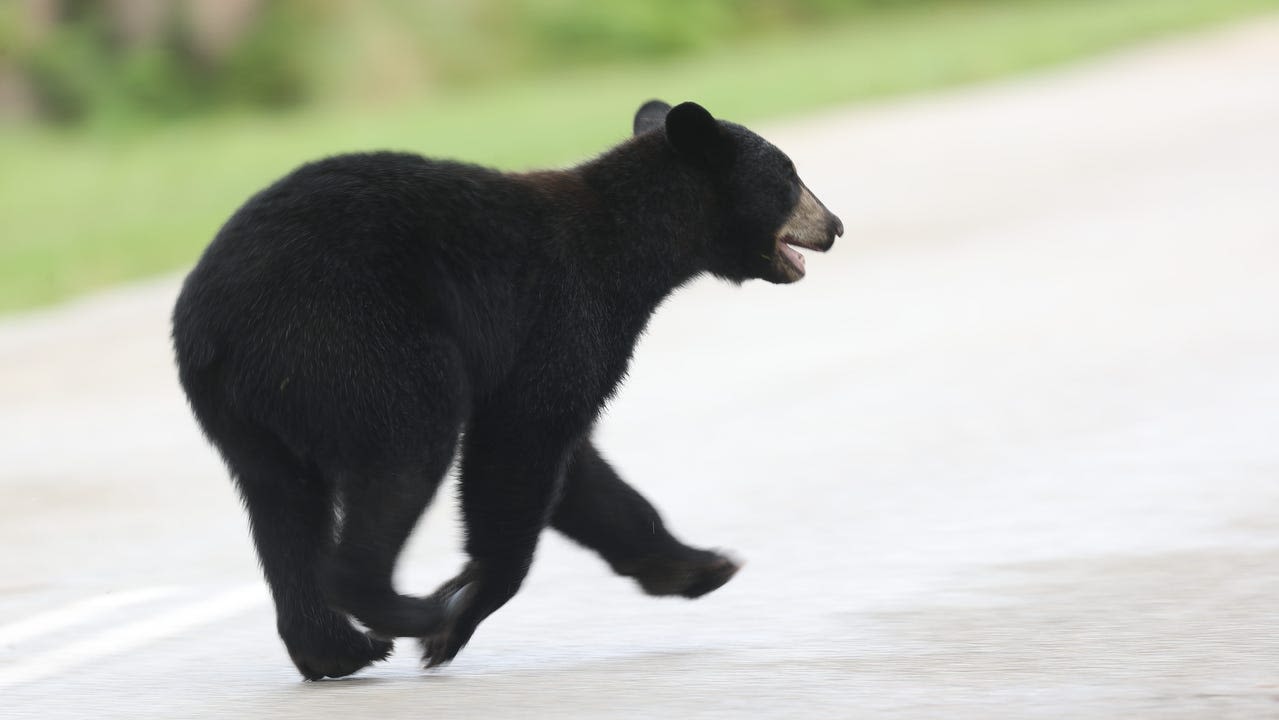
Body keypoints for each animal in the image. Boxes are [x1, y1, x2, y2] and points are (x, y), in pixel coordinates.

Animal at [175, 98, 844, 680]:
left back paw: (335, 649)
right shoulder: (564, 314)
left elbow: (580, 473)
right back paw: (410, 612)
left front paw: (698, 565)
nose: (835, 225)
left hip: (248, 408)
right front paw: (461, 610)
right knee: (407, 447)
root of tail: (212, 319)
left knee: (282, 502)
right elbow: (523, 441)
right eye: (790, 176)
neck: (630, 244)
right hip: (353, 340)